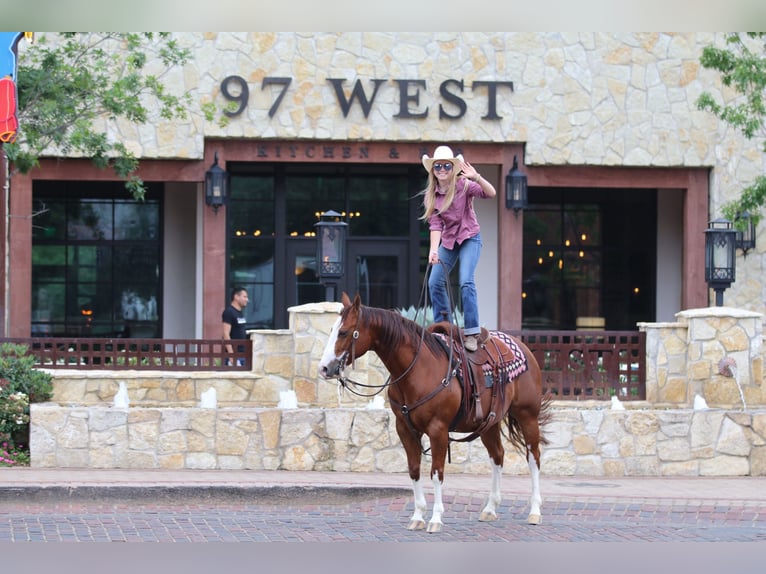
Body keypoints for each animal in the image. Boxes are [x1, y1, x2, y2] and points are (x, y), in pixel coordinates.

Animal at [318, 294, 552, 536]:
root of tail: (522, 346)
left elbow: (436, 472)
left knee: (533, 457)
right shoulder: (404, 428)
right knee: (497, 456)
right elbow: (414, 470)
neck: (418, 369)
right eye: (333, 329)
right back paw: (490, 508)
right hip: (489, 423)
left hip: (527, 415)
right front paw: (417, 516)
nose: (324, 368)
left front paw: (436, 518)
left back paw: (535, 511)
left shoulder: (438, 429)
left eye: (344, 332)